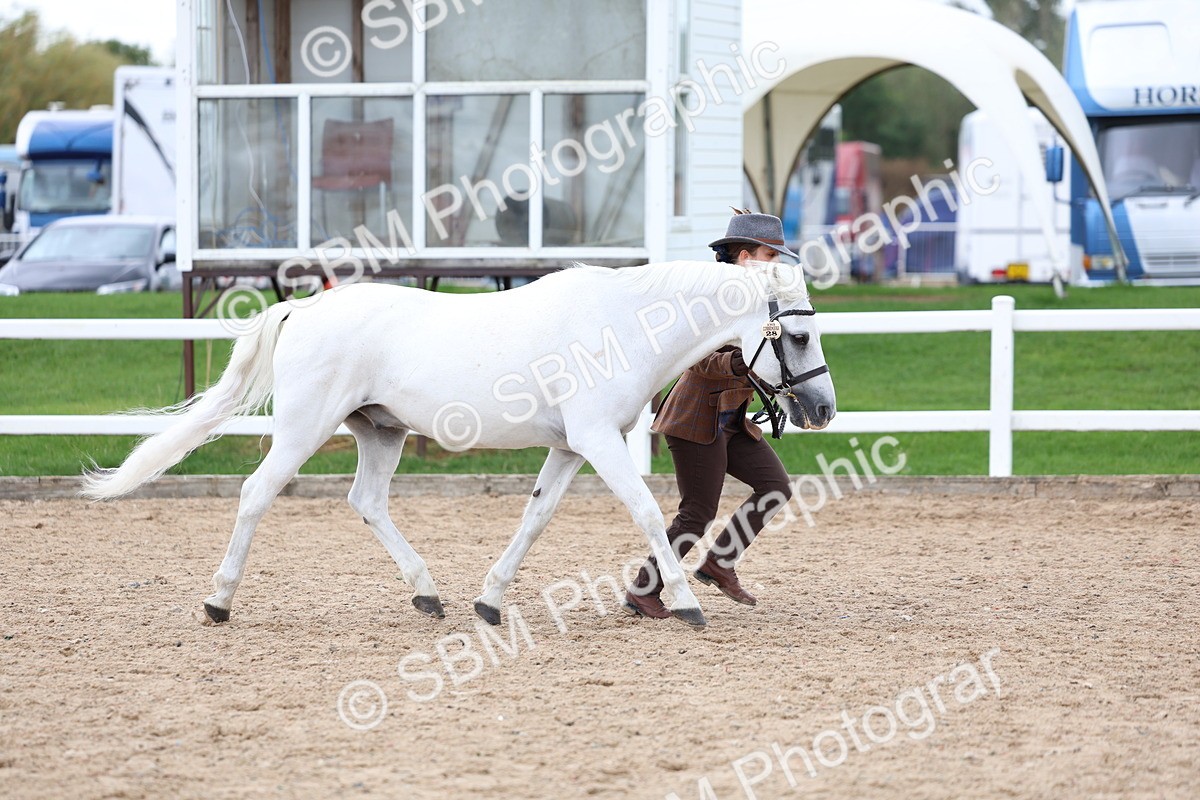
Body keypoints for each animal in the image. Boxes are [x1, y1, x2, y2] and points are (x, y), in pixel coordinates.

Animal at [82, 260, 836, 629]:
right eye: (797, 335)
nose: (824, 409)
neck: (622, 324)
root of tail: (303, 308)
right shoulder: (599, 439)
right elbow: (651, 515)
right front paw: (685, 604)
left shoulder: (571, 447)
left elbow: (535, 518)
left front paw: (489, 602)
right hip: (303, 428)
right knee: (256, 494)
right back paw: (218, 602)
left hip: (380, 431)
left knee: (367, 502)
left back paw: (428, 595)